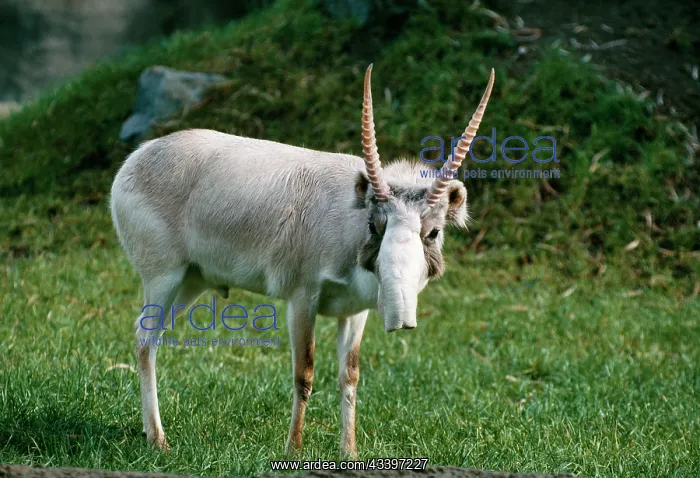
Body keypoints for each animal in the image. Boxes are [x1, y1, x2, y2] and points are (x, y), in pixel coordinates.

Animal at [110, 64, 495, 458]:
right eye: (376, 224)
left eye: (432, 231)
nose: (400, 319)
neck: (347, 215)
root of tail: (137, 159)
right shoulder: (302, 299)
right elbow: (304, 373)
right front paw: (293, 449)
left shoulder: (355, 313)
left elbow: (349, 376)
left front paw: (349, 452)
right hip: (164, 277)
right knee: (144, 338)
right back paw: (158, 439)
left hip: (191, 282)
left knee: (153, 337)